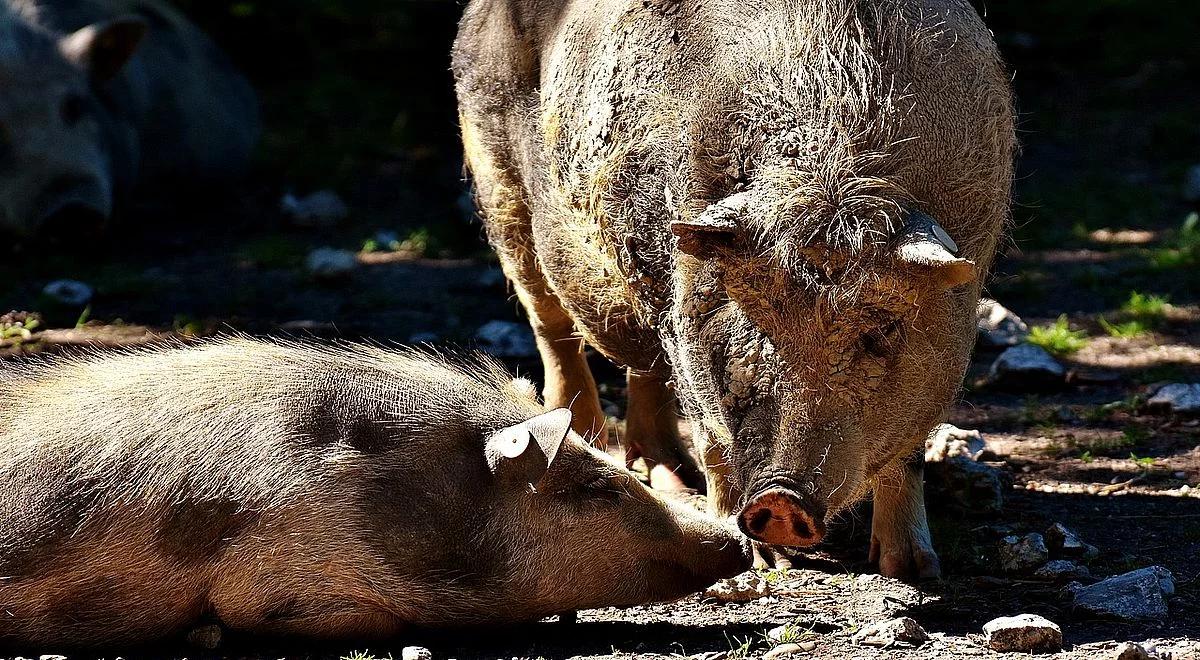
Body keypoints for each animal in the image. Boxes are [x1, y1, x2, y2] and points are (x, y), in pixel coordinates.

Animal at [453, 0, 1017, 583]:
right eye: (752, 320)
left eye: (880, 333)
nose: (782, 499)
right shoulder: (687, 315)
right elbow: (713, 437)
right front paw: (765, 566)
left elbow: (909, 451)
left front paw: (914, 570)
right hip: (500, 189)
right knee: (551, 324)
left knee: (645, 366)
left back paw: (671, 479)